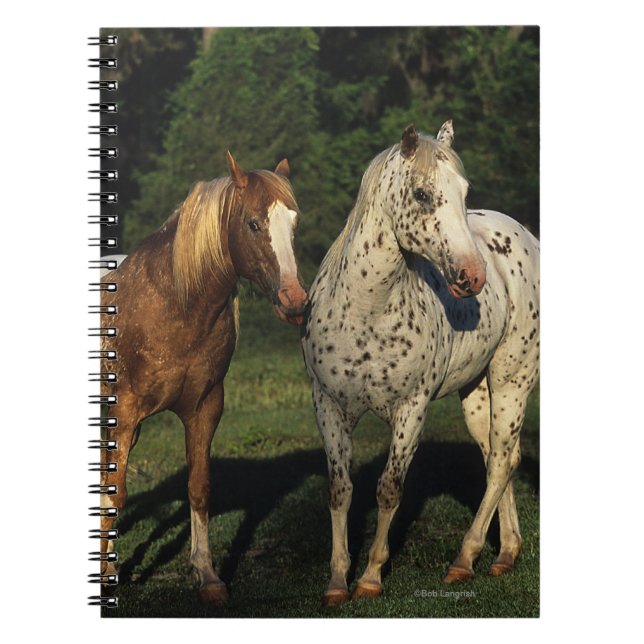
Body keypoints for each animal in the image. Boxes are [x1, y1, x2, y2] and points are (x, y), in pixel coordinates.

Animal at [99, 152, 308, 606]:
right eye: (252, 223)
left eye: (294, 223)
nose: (295, 301)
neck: (175, 302)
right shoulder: (125, 413)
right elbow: (116, 493)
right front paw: (106, 577)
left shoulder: (204, 408)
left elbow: (198, 487)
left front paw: (207, 575)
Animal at [302, 123, 539, 605]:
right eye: (422, 193)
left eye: (464, 191)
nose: (472, 276)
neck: (367, 309)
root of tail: (527, 237)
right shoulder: (328, 406)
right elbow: (340, 490)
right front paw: (336, 581)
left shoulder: (412, 410)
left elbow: (389, 489)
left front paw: (370, 576)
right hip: (477, 393)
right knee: (498, 458)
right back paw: (506, 554)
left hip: (512, 381)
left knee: (501, 462)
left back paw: (464, 560)